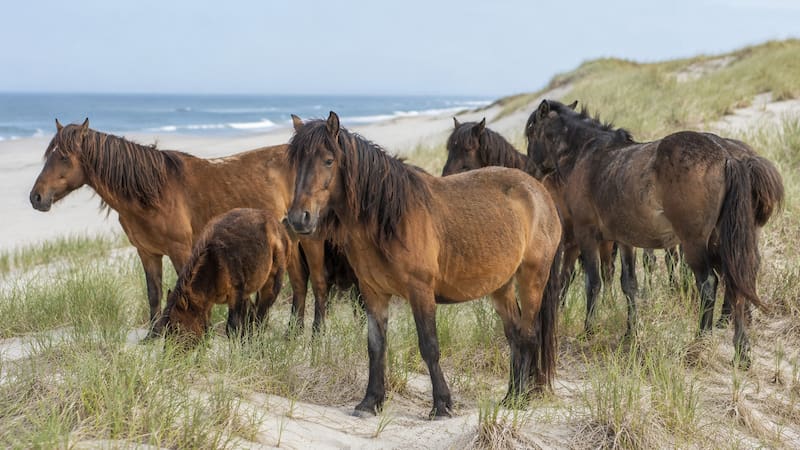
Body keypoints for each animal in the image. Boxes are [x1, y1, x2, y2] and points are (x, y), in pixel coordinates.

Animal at [154, 208, 288, 346]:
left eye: (177, 326)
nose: (169, 351)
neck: (213, 263)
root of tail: (277, 224)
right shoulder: (206, 303)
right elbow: (206, 331)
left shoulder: (236, 294)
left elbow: (233, 329)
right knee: (252, 315)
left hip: (271, 286)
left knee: (261, 319)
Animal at [286, 112, 562, 418]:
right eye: (295, 163)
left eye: (328, 160)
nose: (299, 218)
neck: (389, 219)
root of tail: (540, 192)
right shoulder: (373, 293)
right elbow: (376, 347)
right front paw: (370, 401)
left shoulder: (420, 292)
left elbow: (429, 347)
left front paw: (441, 404)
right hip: (500, 286)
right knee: (514, 335)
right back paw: (511, 395)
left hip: (532, 278)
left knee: (528, 335)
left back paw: (520, 399)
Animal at [526, 100, 784, 366]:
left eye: (531, 131)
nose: (531, 171)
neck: (589, 156)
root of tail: (728, 157)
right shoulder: (624, 240)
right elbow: (629, 284)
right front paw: (631, 332)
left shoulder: (586, 235)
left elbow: (593, 283)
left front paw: (589, 330)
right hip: (723, 242)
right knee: (736, 285)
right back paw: (741, 351)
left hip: (695, 244)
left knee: (709, 285)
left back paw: (700, 341)